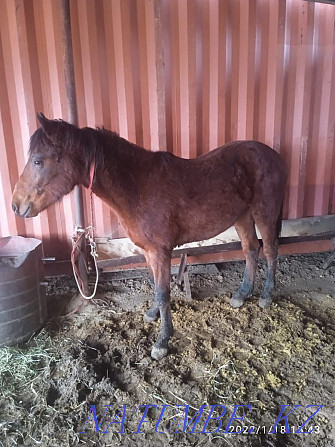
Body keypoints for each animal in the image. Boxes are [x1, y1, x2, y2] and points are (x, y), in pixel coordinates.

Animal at [11, 114, 288, 360]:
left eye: (37, 161)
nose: (16, 206)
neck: (138, 186)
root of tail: (273, 155)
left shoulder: (160, 251)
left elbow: (163, 291)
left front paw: (162, 341)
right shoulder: (147, 251)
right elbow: (155, 285)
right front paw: (152, 314)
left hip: (264, 213)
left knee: (270, 249)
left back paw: (265, 295)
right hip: (242, 216)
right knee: (251, 249)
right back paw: (242, 294)